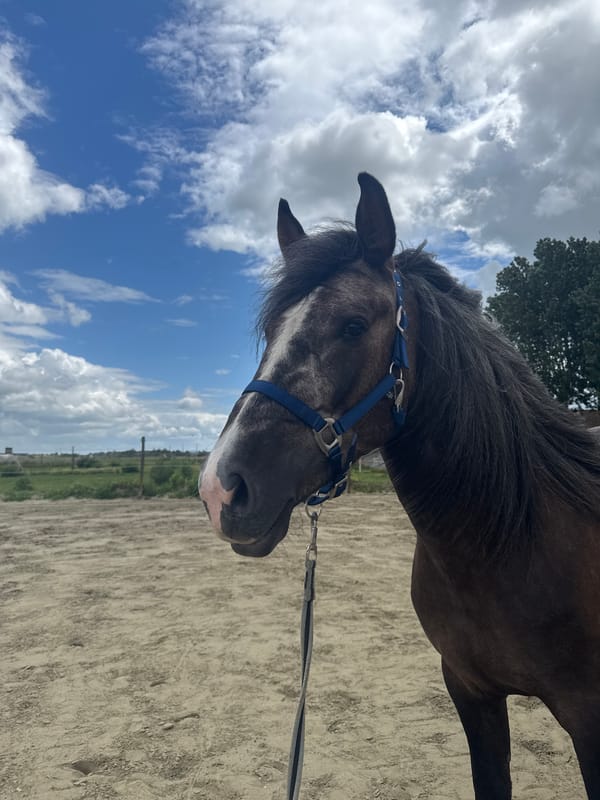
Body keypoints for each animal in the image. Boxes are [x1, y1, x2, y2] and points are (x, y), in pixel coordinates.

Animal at [199, 172, 600, 799]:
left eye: (353, 325)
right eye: (271, 331)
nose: (221, 489)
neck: (512, 545)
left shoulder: (590, 720)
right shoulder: (471, 693)